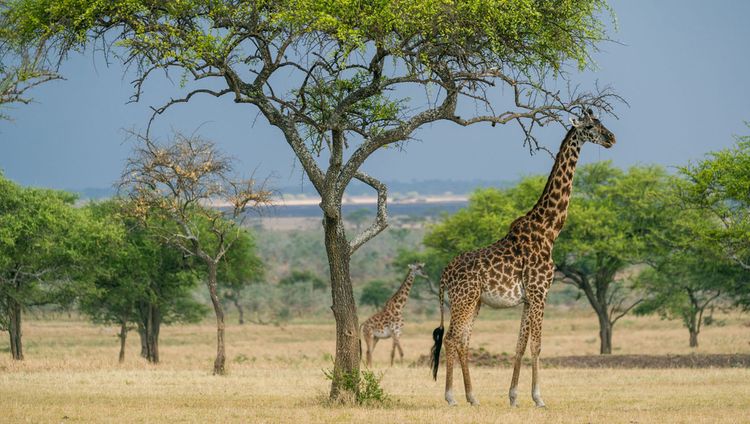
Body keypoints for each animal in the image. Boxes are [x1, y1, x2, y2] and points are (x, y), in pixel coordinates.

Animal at [432, 109, 612, 408]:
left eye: (601, 123)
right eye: (589, 127)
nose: (611, 138)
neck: (549, 230)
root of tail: (444, 274)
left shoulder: (529, 298)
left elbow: (520, 343)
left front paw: (514, 396)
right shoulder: (540, 292)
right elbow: (537, 344)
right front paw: (538, 398)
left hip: (474, 302)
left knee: (463, 340)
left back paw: (472, 397)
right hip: (463, 299)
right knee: (451, 338)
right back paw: (451, 397)